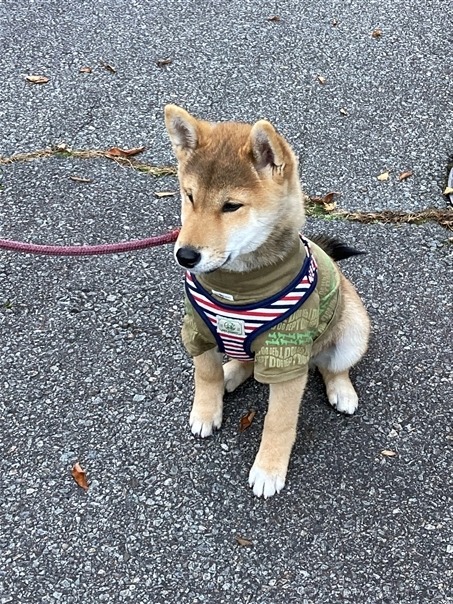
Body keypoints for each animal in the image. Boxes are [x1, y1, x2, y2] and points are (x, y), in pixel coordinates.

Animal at [164, 104, 370, 498]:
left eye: (231, 206)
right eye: (189, 196)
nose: (185, 256)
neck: (237, 285)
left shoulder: (286, 355)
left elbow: (279, 421)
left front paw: (269, 469)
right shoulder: (198, 329)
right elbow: (206, 374)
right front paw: (206, 410)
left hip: (353, 329)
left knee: (332, 366)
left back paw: (341, 390)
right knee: (244, 363)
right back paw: (232, 374)